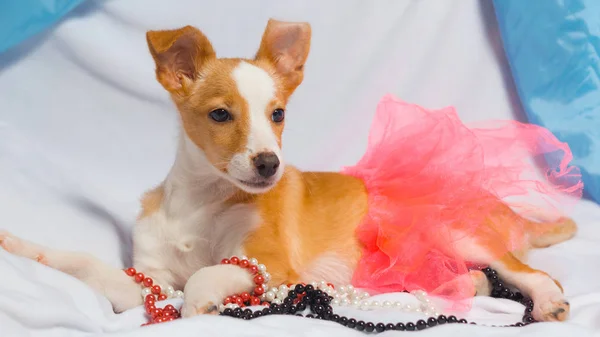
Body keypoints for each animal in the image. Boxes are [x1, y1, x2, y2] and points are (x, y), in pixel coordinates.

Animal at [0, 19, 576, 322]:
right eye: (220, 114)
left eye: (277, 114)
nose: (269, 164)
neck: (203, 202)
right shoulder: (150, 281)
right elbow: (88, 266)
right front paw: (25, 248)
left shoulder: (270, 265)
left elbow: (210, 273)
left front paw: (202, 304)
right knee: (469, 280)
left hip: (454, 231)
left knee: (528, 272)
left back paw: (547, 299)